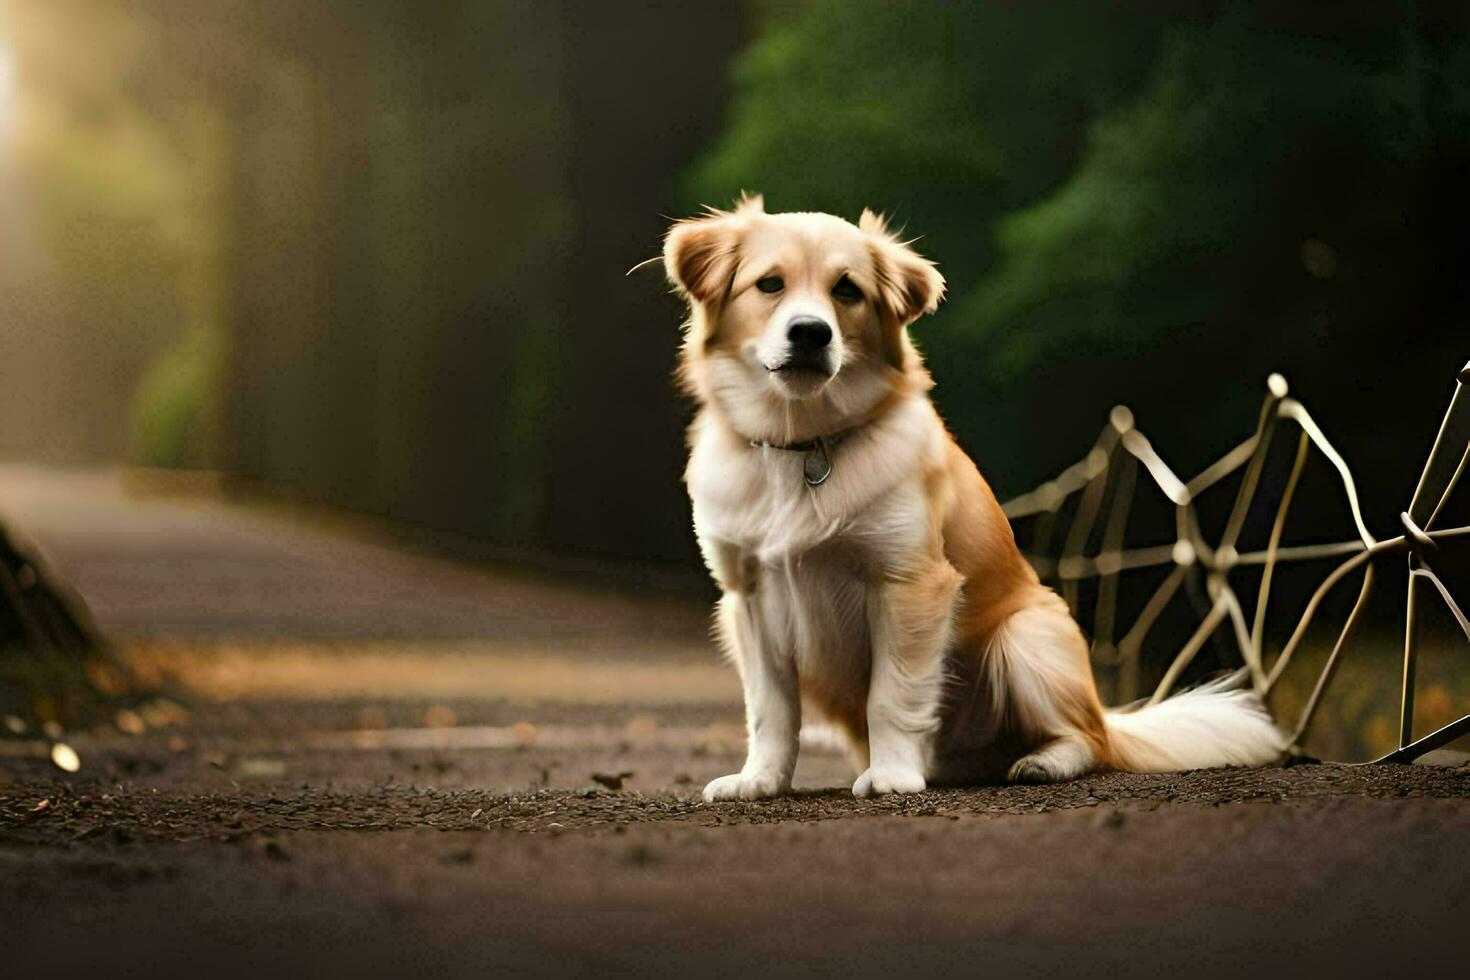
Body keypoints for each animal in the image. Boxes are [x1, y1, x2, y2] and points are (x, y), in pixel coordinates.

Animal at [661, 195, 1281, 799]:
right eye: (769, 284)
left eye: (847, 290)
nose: (812, 333)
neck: (804, 444)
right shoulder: (750, 598)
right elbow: (770, 708)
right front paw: (760, 779)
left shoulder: (911, 584)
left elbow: (893, 693)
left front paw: (892, 775)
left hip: (1024, 639)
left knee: (1088, 741)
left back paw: (1042, 762)